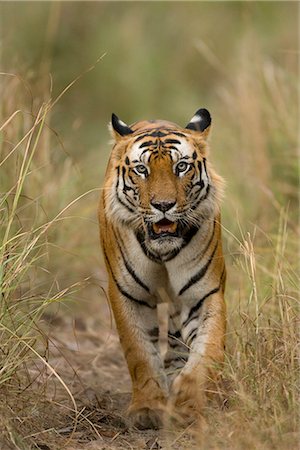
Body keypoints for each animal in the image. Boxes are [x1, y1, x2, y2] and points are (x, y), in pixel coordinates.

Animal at [98, 108, 225, 428]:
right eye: (142, 170)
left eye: (181, 166)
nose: (164, 205)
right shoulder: (128, 295)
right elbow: (140, 353)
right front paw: (146, 409)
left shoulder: (202, 295)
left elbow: (206, 352)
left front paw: (189, 404)